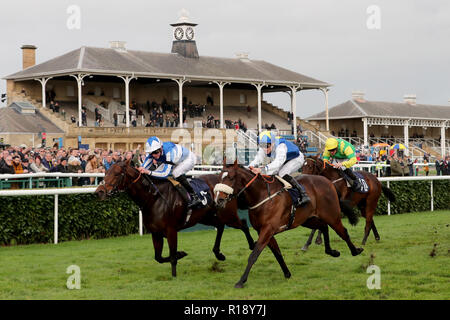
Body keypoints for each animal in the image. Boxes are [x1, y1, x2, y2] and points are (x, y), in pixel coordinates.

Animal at [95, 160, 255, 278]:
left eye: (117, 174)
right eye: (105, 172)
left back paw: (252, 245)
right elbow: (158, 257)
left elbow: (171, 256)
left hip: (228, 215)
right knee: (221, 227)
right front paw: (181, 254)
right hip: (206, 217)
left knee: (243, 224)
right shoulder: (156, 233)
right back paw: (218, 254)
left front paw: (174, 274)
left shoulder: (171, 230)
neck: (153, 197)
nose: (99, 192)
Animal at [213, 161, 364, 288]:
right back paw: (331, 251)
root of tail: (329, 182)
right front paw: (287, 273)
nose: (218, 200)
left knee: (342, 231)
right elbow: (277, 253)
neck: (262, 195)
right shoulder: (264, 231)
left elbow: (254, 255)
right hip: (307, 220)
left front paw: (241, 281)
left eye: (231, 178)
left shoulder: (267, 230)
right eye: (219, 177)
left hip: (331, 215)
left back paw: (355, 251)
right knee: (323, 226)